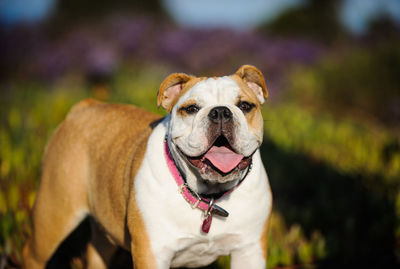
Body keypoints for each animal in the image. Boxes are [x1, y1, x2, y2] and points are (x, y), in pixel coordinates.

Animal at [21, 65, 272, 268]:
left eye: (245, 106)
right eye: (191, 109)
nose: (220, 111)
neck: (208, 196)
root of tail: (83, 107)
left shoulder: (249, 252)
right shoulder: (152, 253)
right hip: (54, 213)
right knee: (32, 254)